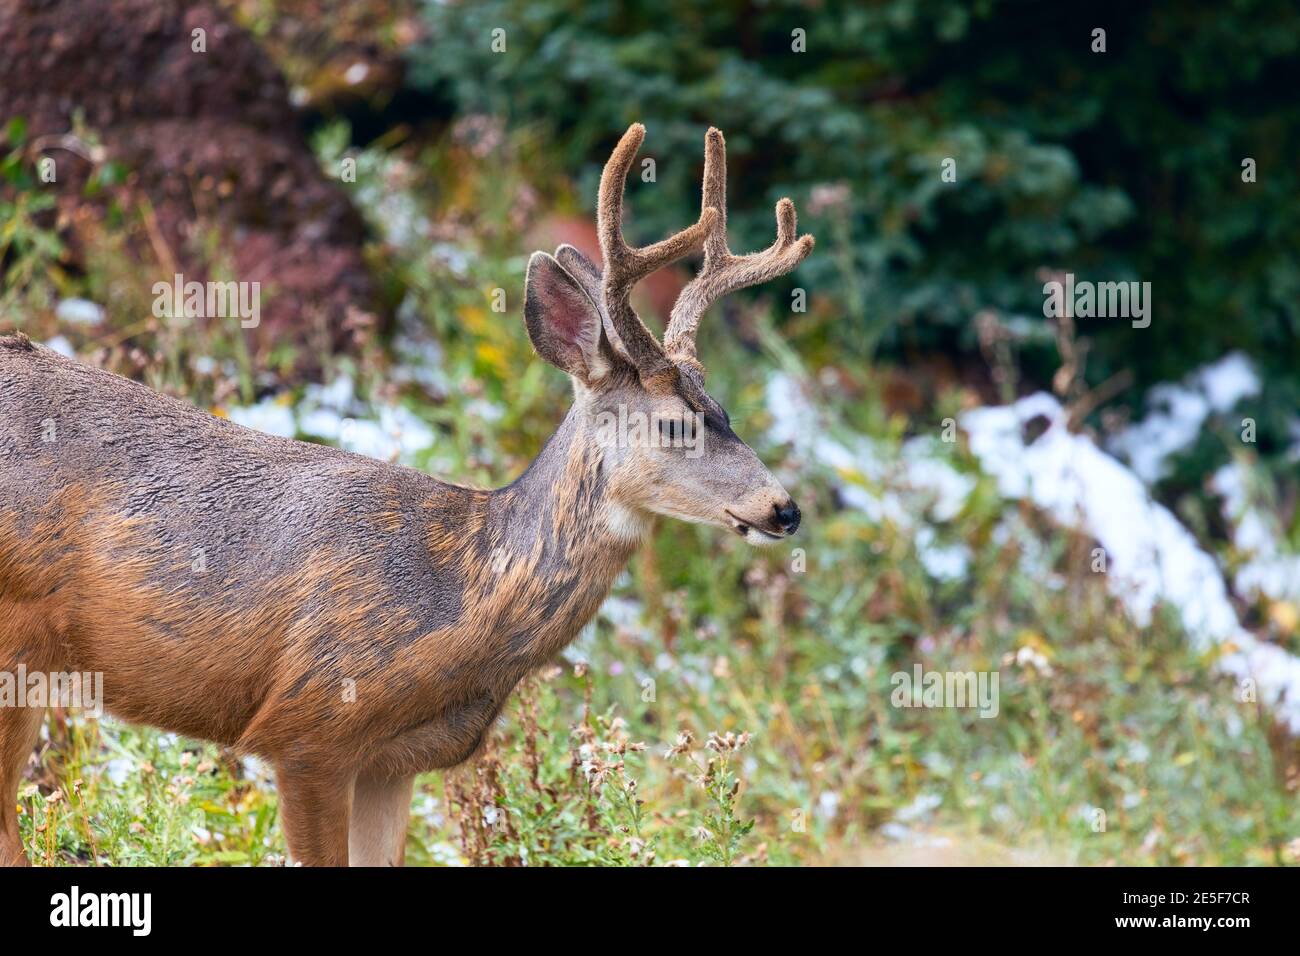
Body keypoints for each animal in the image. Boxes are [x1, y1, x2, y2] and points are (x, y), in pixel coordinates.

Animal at [0, 123, 813, 866]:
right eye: (675, 423)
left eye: (725, 411)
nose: (784, 508)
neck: (463, 591)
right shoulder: (308, 729)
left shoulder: (394, 763)